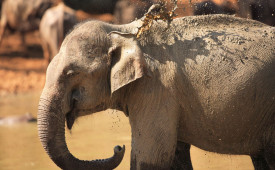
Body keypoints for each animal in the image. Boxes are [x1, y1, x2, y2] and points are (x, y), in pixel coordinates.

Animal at [38, 11, 275, 169]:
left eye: (71, 73)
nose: (118, 147)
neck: (123, 31)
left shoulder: (157, 90)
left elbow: (150, 157)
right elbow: (176, 155)